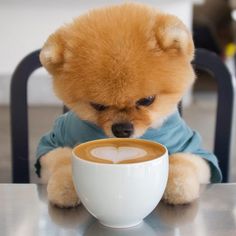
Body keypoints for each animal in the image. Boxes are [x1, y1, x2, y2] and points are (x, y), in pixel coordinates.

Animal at [36, 2, 222, 207]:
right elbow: (63, 158)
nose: (122, 129)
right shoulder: (52, 144)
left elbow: (183, 161)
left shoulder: (195, 150)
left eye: (147, 100)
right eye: (97, 105)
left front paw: (179, 186)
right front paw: (65, 186)